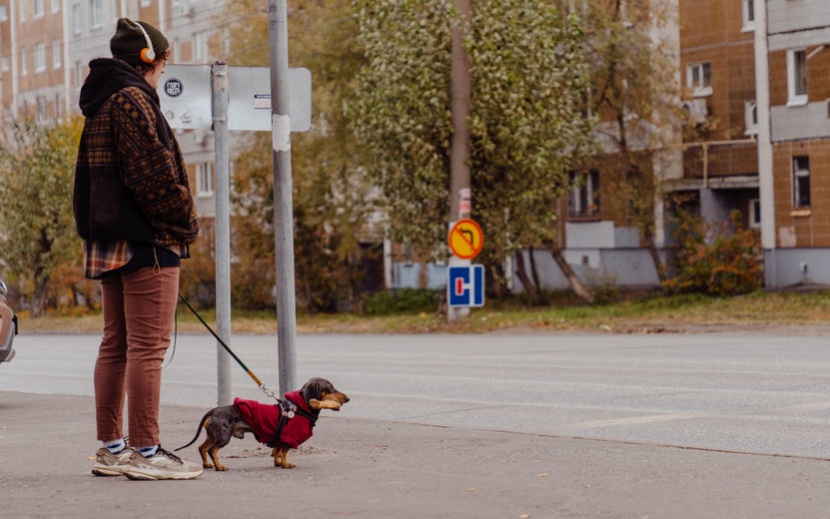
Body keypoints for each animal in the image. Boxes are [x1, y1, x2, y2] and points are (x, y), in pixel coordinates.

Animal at [177, 378, 350, 472]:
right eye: (330, 388)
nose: (348, 398)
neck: (300, 408)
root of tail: (213, 410)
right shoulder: (289, 438)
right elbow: (284, 452)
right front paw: (285, 464)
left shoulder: (280, 438)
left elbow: (278, 451)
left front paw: (278, 463)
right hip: (224, 437)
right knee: (212, 450)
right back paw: (220, 467)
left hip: (213, 435)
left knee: (202, 448)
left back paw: (207, 465)